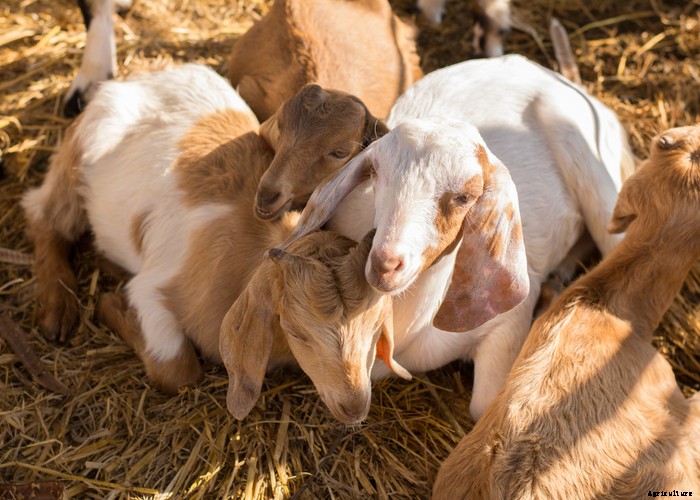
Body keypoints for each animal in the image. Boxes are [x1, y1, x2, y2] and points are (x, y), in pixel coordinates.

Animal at [22, 63, 408, 424]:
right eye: (297, 332)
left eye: (375, 326)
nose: (354, 406)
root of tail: (141, 77)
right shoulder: (151, 292)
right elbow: (177, 369)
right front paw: (110, 305)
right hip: (73, 162)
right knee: (43, 218)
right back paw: (58, 310)